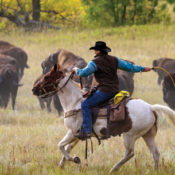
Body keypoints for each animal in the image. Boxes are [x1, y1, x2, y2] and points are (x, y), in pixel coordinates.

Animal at [32, 65, 175, 173]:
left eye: (46, 77)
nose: (34, 89)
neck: (74, 102)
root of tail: (151, 108)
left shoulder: (72, 132)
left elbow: (61, 145)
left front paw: (75, 160)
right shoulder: (77, 135)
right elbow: (67, 148)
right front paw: (61, 166)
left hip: (130, 135)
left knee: (129, 153)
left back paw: (113, 169)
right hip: (148, 135)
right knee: (155, 154)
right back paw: (155, 170)